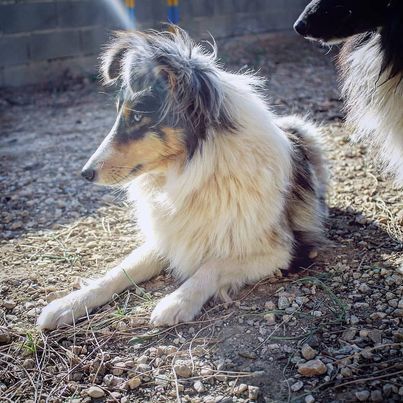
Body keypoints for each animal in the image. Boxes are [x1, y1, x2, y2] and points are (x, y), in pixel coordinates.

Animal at [37, 29, 328, 332]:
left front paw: (176, 302)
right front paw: (69, 303)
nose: (85, 173)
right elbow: (122, 268)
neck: (199, 173)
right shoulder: (171, 234)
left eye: (138, 116)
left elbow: (211, 266)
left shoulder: (282, 251)